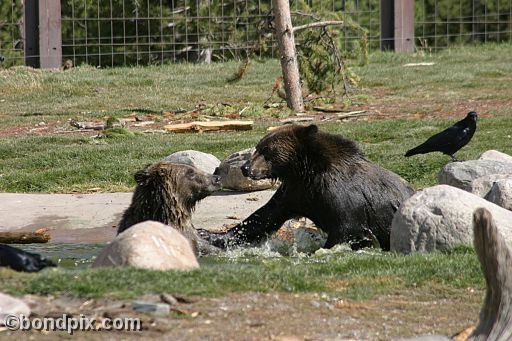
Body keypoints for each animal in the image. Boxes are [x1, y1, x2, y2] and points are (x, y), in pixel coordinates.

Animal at [198, 123, 414, 248]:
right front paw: (211, 235)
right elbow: (262, 218)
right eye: (258, 147)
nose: (246, 168)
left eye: (267, 151)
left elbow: (347, 229)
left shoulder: (344, 199)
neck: (306, 172)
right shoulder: (296, 193)